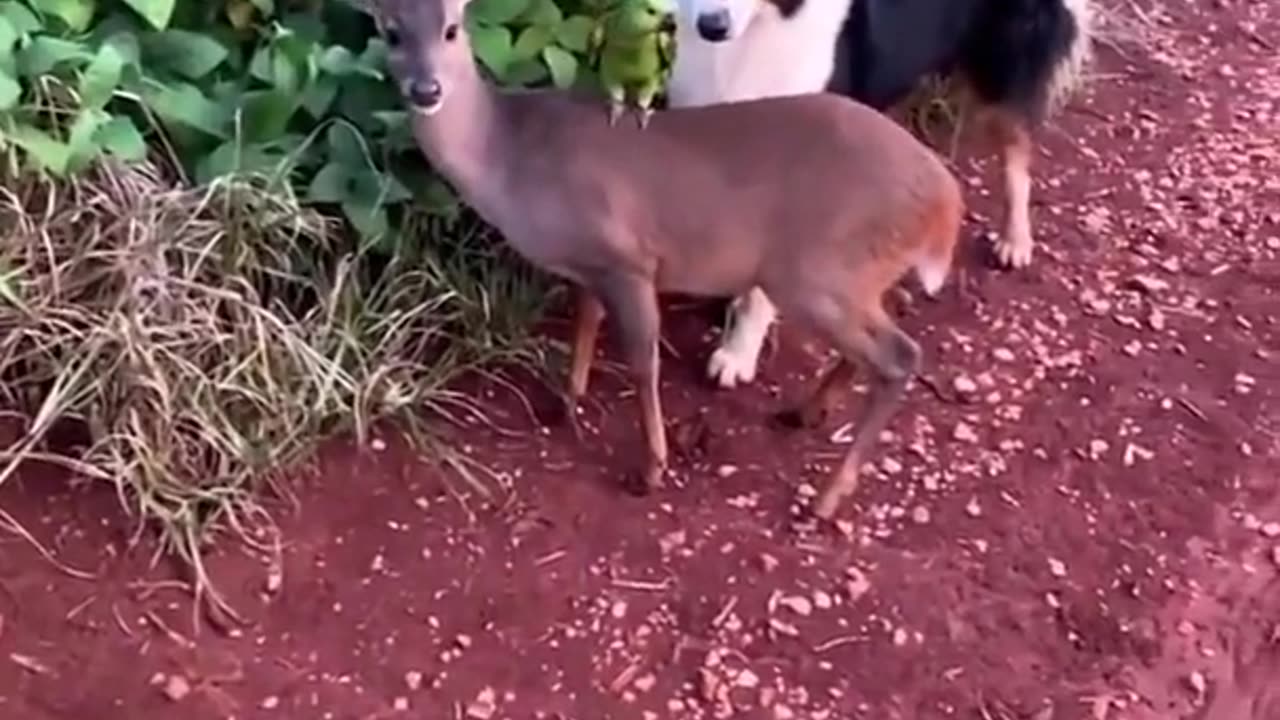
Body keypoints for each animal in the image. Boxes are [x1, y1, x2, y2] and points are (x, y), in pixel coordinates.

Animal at [371, 0, 962, 517]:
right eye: (390, 32)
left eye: (451, 29)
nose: (426, 89)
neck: (512, 156)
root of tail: (945, 201)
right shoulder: (590, 266)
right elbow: (584, 326)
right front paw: (565, 403)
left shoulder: (629, 259)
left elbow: (643, 362)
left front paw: (651, 469)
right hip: (847, 279)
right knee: (888, 330)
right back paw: (805, 412)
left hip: (816, 274)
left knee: (901, 356)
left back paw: (825, 498)